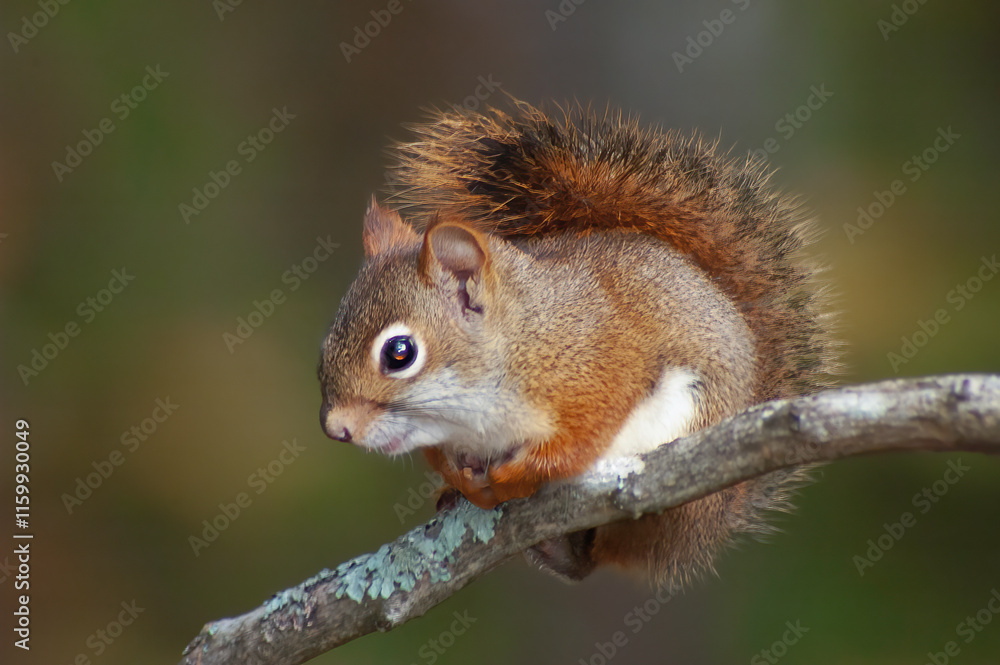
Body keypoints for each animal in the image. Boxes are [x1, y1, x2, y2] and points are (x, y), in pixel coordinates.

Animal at [318, 98, 839, 585]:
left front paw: (516, 473)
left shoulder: (598, 366)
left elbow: (579, 437)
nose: (336, 429)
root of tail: (718, 514)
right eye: (322, 349)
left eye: (399, 353)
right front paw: (458, 479)